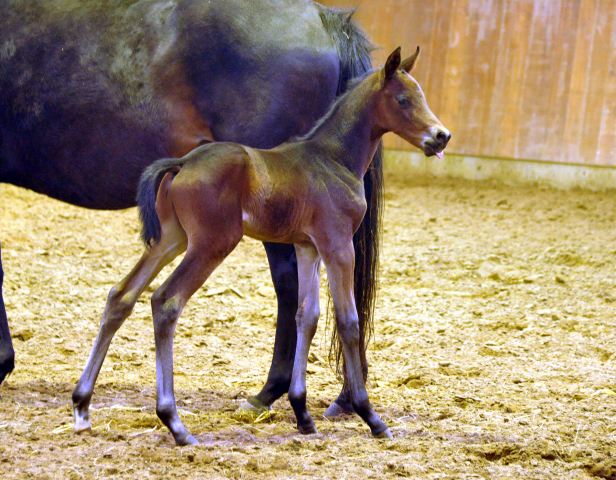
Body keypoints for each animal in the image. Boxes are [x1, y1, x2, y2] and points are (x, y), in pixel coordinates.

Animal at [73, 47, 452, 444]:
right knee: (166, 301)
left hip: (171, 239)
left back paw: (82, 407)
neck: (332, 158)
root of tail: (183, 162)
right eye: (403, 100)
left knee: (121, 295)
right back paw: (175, 423)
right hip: (212, 243)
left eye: (421, 96)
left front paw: (302, 414)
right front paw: (371, 416)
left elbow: (307, 317)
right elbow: (348, 322)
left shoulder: (308, 247)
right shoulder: (338, 245)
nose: (441, 136)